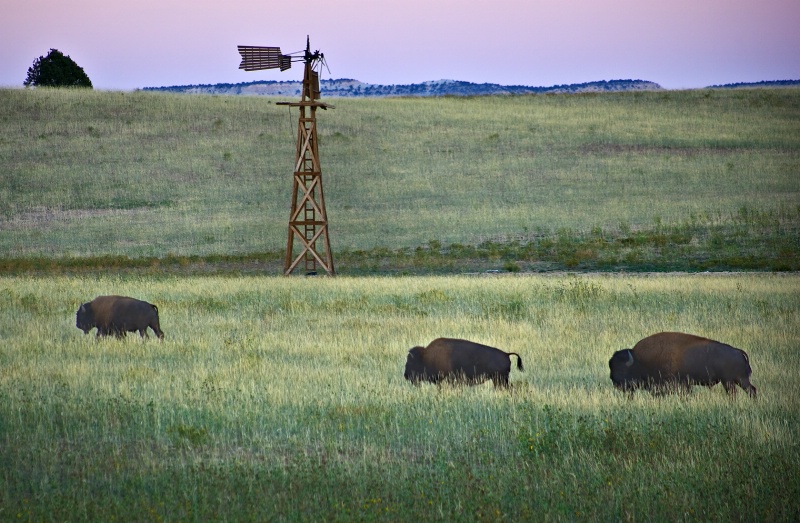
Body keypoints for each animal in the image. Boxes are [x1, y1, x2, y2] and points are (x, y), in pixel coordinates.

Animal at [608, 334, 752, 400]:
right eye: (611, 367)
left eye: (622, 369)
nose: (615, 383)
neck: (640, 361)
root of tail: (738, 351)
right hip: (737, 380)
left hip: (731, 381)